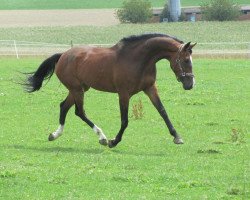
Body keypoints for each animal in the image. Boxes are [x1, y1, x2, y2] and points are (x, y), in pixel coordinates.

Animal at [24, 33, 197, 148]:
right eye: (186, 60)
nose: (190, 84)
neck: (138, 59)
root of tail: (63, 55)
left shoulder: (149, 88)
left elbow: (163, 111)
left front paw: (177, 137)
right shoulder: (124, 93)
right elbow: (125, 120)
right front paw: (114, 141)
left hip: (80, 88)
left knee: (64, 106)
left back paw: (55, 134)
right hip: (77, 89)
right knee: (79, 112)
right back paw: (102, 137)